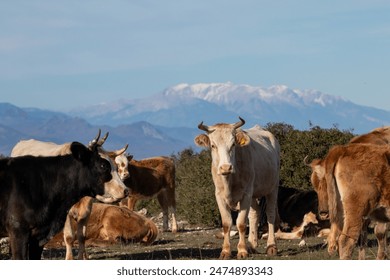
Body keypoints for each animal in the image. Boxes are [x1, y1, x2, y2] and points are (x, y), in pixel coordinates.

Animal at [195, 117, 280, 260]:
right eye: (213, 145)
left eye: (233, 144)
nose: (225, 167)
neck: (229, 181)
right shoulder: (219, 196)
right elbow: (226, 223)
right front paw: (225, 251)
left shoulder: (245, 194)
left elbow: (241, 223)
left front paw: (242, 250)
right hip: (253, 193)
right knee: (254, 214)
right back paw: (252, 245)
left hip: (273, 187)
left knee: (270, 214)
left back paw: (271, 246)